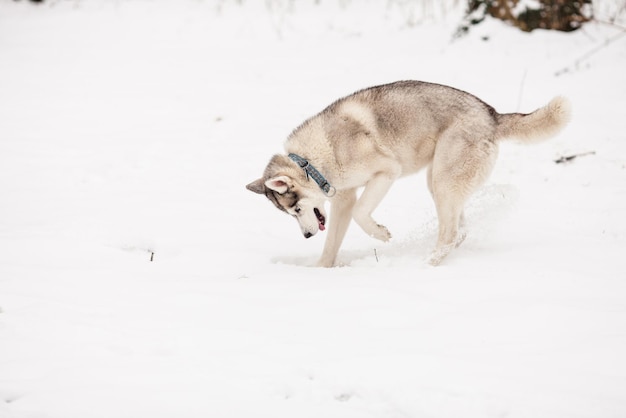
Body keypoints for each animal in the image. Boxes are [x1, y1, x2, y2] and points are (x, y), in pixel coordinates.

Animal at [246, 80, 568, 266]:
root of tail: (492, 114)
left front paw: (381, 234)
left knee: (451, 233)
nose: (307, 235)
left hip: (443, 181)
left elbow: (363, 214)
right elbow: (332, 244)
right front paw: (321, 271)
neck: (313, 160)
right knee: (460, 231)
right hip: (440, 183)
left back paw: (428, 265)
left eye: (297, 209)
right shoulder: (343, 200)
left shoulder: (386, 172)